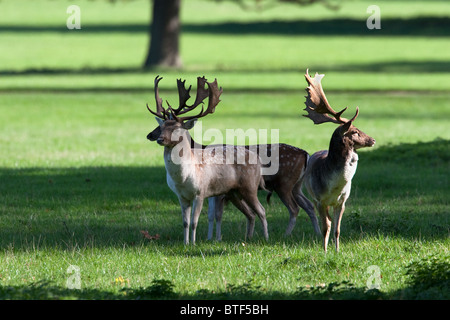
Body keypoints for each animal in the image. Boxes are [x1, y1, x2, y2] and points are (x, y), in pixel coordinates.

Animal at [147, 75, 268, 245]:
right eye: (162, 126)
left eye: (177, 128)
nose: (159, 138)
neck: (183, 177)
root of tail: (257, 160)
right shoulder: (181, 196)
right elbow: (185, 222)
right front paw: (185, 243)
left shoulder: (201, 192)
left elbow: (194, 222)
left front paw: (193, 243)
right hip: (233, 192)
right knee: (250, 213)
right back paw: (248, 238)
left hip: (250, 186)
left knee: (262, 211)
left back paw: (266, 238)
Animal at [302, 70, 376, 252]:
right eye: (355, 131)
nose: (372, 140)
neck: (334, 187)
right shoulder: (320, 200)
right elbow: (325, 227)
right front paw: (325, 251)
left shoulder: (342, 201)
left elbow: (337, 229)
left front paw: (337, 250)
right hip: (313, 198)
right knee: (325, 222)